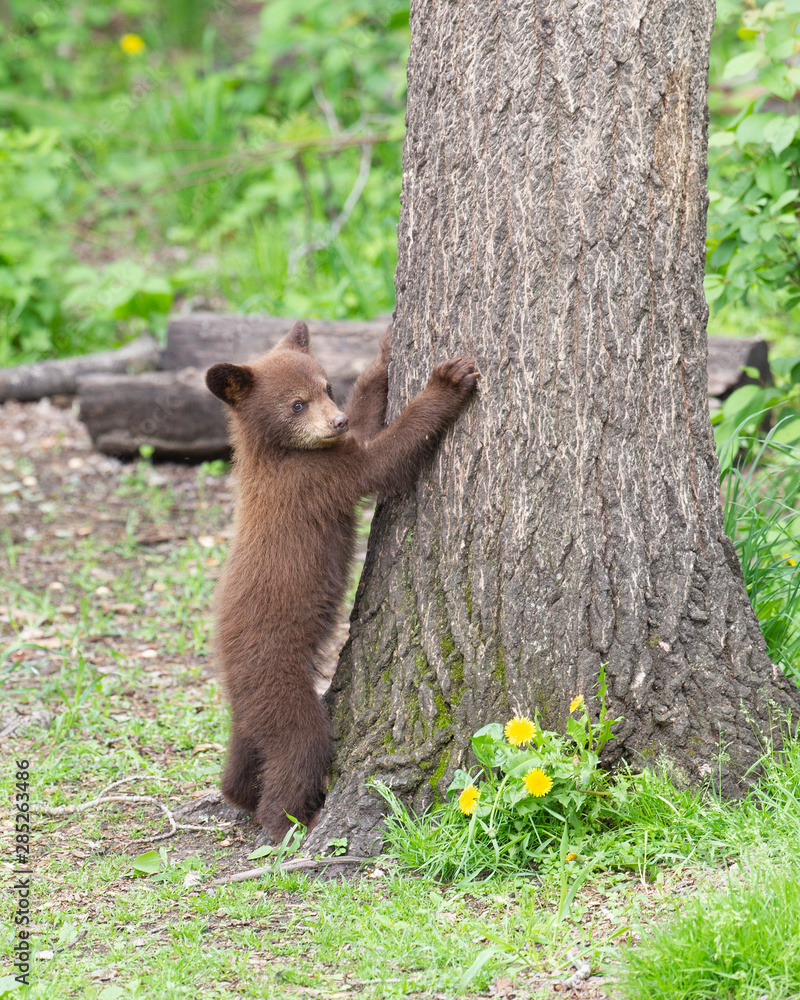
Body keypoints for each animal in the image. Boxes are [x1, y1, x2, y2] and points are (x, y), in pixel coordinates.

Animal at [205, 320, 479, 842]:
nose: (335, 422)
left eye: (328, 388)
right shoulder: (317, 477)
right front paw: (448, 381)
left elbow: (369, 421)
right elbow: (383, 458)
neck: (277, 452)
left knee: (243, 758)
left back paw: (240, 795)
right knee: (300, 748)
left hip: (248, 712)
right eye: (296, 403)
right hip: (280, 685)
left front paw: (386, 351)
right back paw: (292, 821)